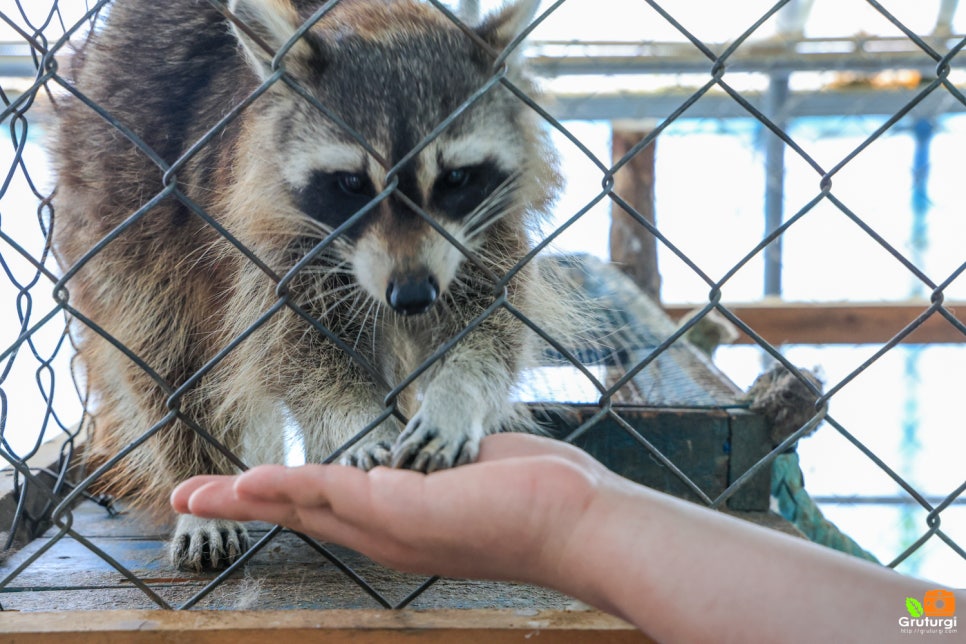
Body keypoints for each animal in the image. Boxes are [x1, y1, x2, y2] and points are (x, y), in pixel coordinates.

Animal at [53, 0, 564, 572]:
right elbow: (299, 351)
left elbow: (490, 326)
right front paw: (357, 421)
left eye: (455, 178)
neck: (380, 20)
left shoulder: (480, 234)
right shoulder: (272, 237)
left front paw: (456, 395)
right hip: (117, 196)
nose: (412, 296)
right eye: (352, 184)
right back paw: (198, 487)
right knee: (163, 352)